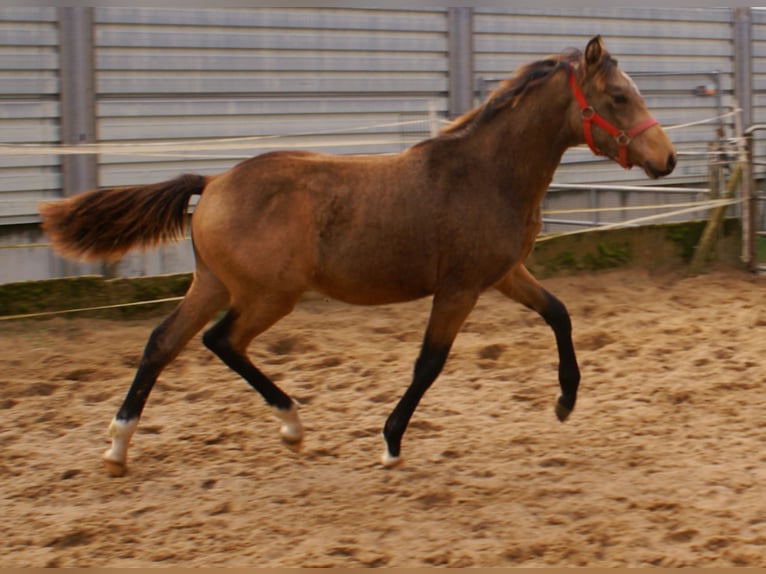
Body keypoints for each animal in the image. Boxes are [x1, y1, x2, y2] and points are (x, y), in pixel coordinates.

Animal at [42, 35, 680, 476]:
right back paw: (291, 424)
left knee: (162, 343)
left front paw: (566, 402)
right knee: (220, 340)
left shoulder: (503, 274)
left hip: (214, 284)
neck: (486, 173)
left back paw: (119, 447)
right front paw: (391, 443)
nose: (667, 159)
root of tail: (215, 181)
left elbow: (559, 313)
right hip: (268, 294)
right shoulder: (459, 288)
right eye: (619, 96)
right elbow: (429, 363)